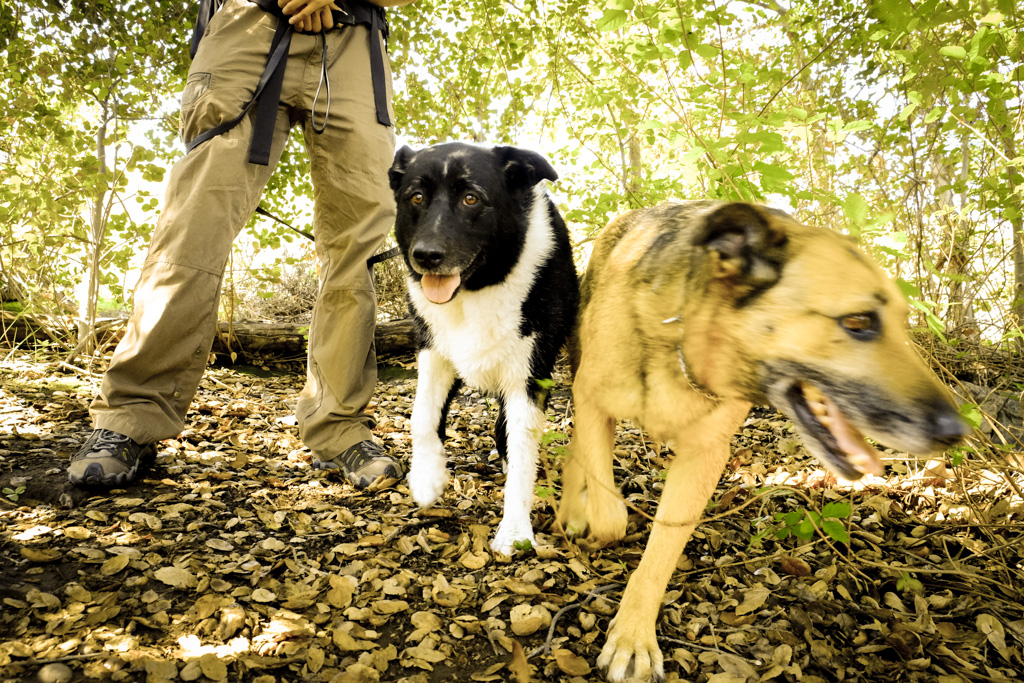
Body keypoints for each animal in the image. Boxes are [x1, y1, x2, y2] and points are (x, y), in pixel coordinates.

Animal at [388, 142, 579, 554]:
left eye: (471, 198)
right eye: (416, 197)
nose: (425, 255)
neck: (478, 288)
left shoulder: (529, 373)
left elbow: (522, 451)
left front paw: (515, 531)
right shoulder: (434, 349)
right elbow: (422, 415)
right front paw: (426, 476)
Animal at [557, 201, 969, 682]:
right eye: (858, 322)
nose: (956, 431)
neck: (683, 343)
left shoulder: (703, 457)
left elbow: (660, 553)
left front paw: (634, 636)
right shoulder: (593, 403)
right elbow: (610, 514)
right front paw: (592, 523)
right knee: (577, 453)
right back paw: (571, 511)